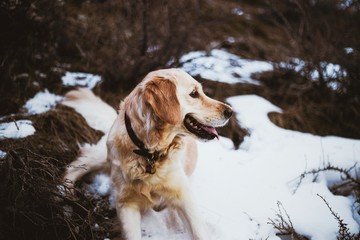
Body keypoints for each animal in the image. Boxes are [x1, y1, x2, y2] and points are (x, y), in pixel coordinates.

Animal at [63, 68, 232, 240]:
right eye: (194, 93)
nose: (230, 111)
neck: (150, 152)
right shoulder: (125, 203)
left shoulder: (183, 195)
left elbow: (199, 232)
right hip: (104, 155)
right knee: (75, 166)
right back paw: (63, 195)